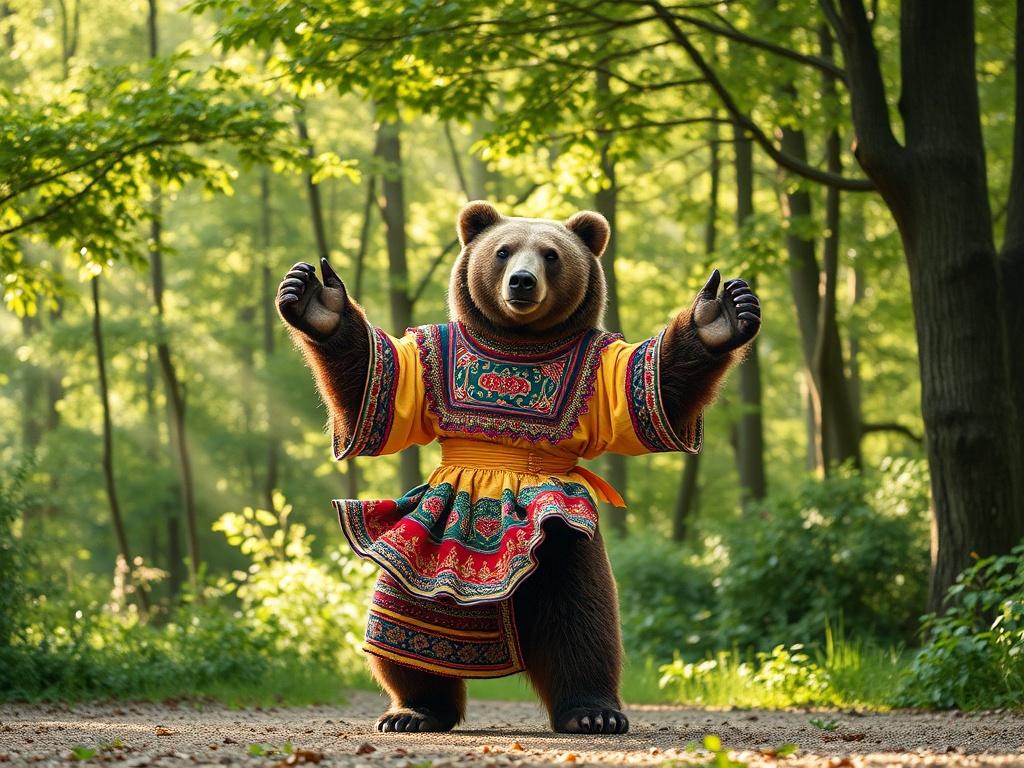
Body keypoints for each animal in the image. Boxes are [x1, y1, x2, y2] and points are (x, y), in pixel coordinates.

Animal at [276, 200, 760, 734]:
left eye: (550, 254)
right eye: (503, 251)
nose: (522, 282)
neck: (518, 341)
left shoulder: (599, 369)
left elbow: (646, 387)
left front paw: (720, 313)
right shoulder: (430, 359)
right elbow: (381, 381)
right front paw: (317, 300)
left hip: (563, 540)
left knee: (581, 619)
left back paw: (592, 712)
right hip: (421, 559)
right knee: (400, 621)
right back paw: (414, 711)